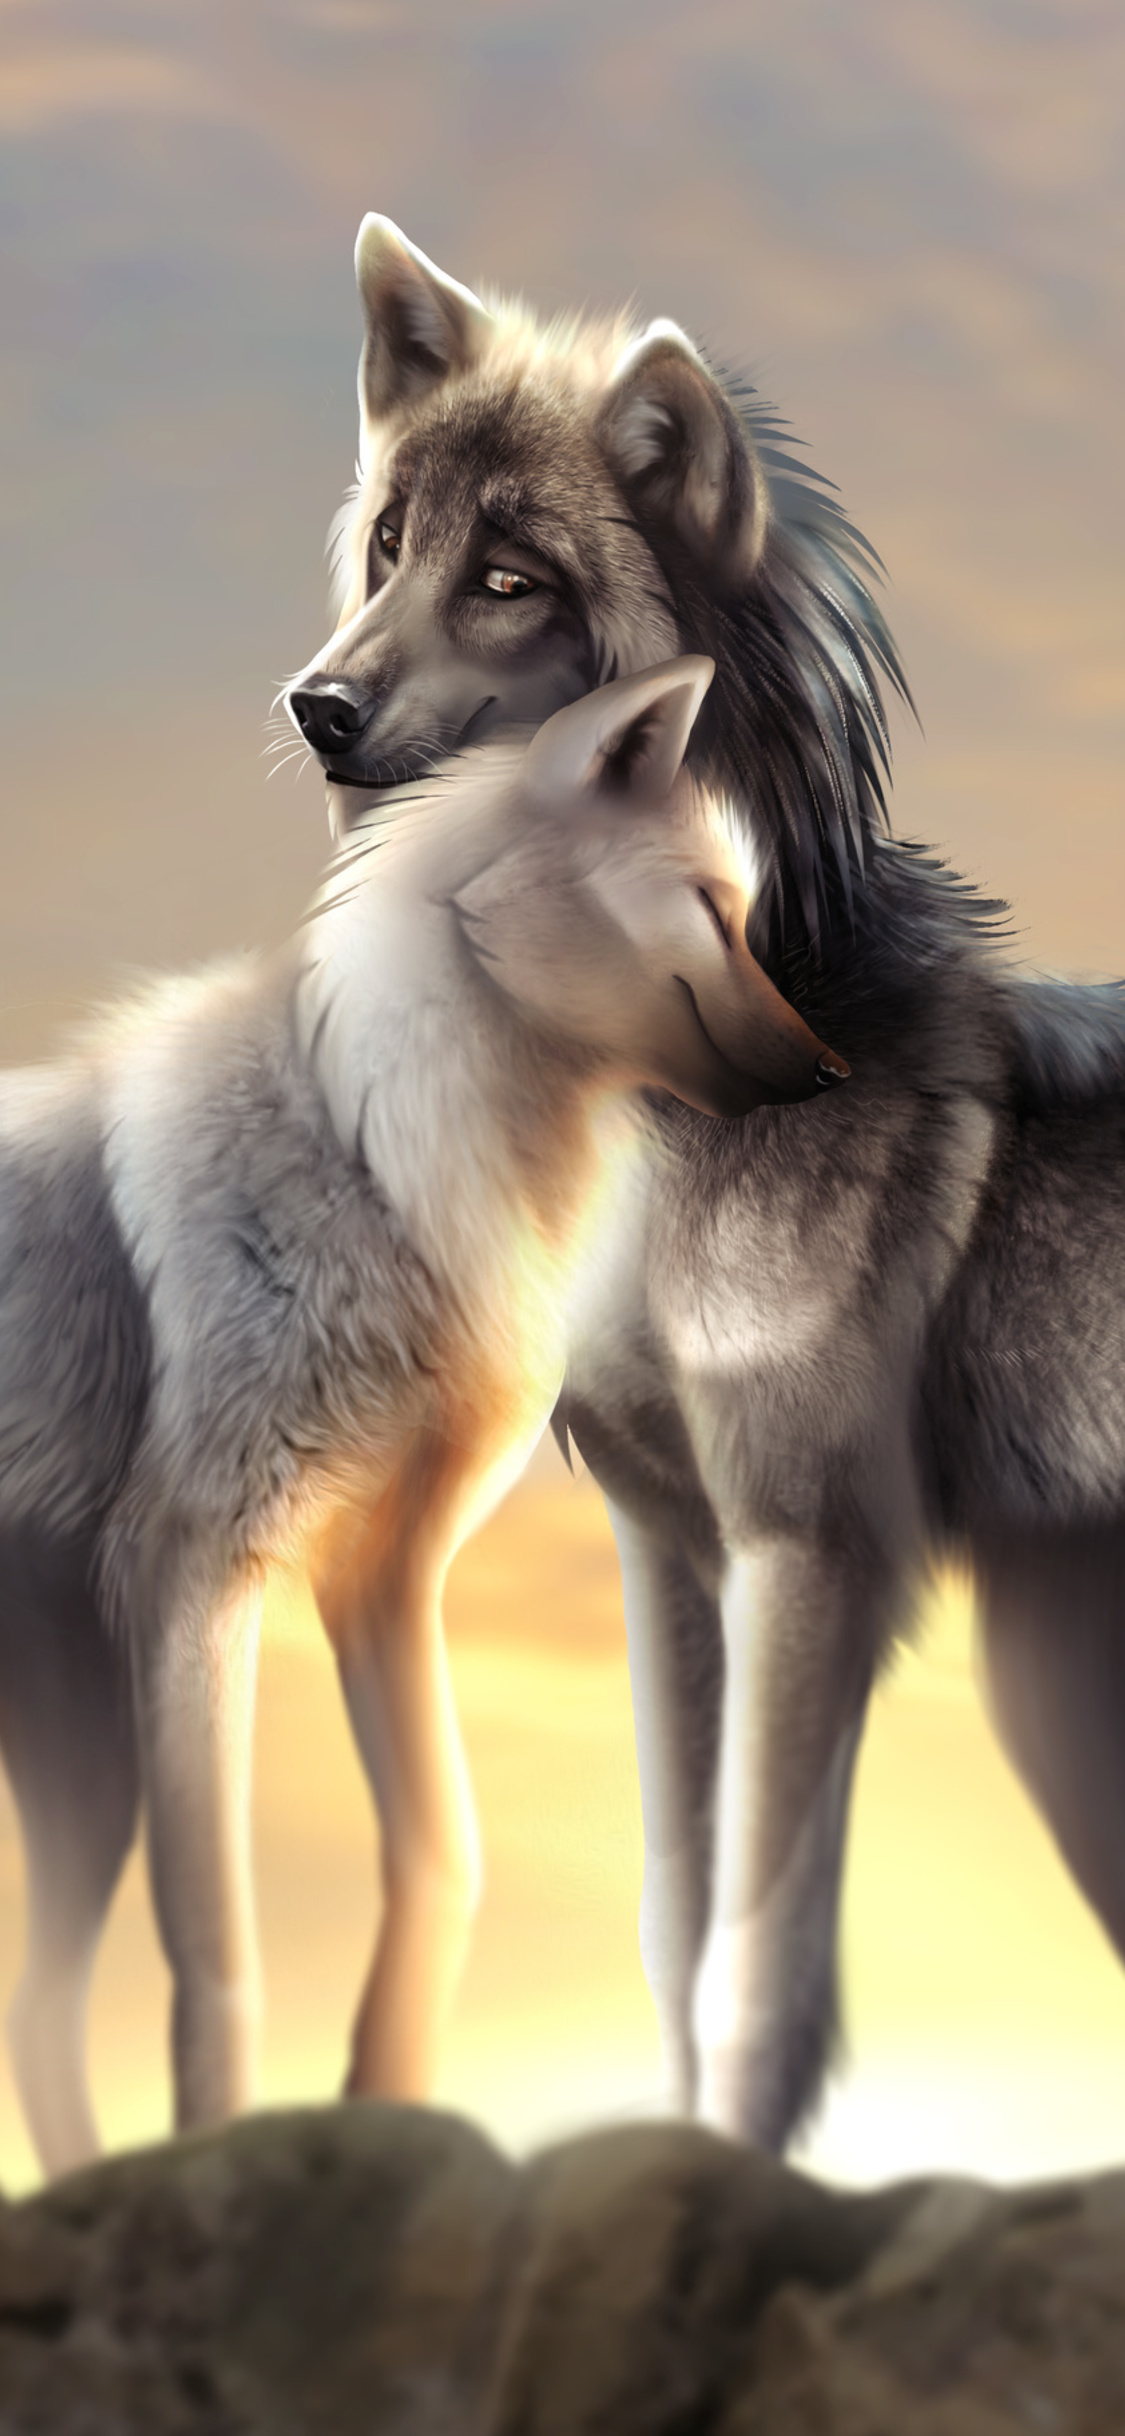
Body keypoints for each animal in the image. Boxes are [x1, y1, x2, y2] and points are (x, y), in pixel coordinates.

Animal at [0, 657, 844, 2178]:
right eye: (711, 908)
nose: (829, 1073)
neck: (378, 1152)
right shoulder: (198, 1573)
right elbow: (215, 1945)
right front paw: (225, 2166)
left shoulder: (385, 1578)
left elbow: (445, 1856)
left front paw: (379, 2110)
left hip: (78, 1763)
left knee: (34, 2006)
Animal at [285, 215, 1125, 2154]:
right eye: (391, 546)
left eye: (509, 578)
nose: (315, 705)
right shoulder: (668, 1545)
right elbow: (675, 1929)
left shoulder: (806, 1550)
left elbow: (758, 1952)